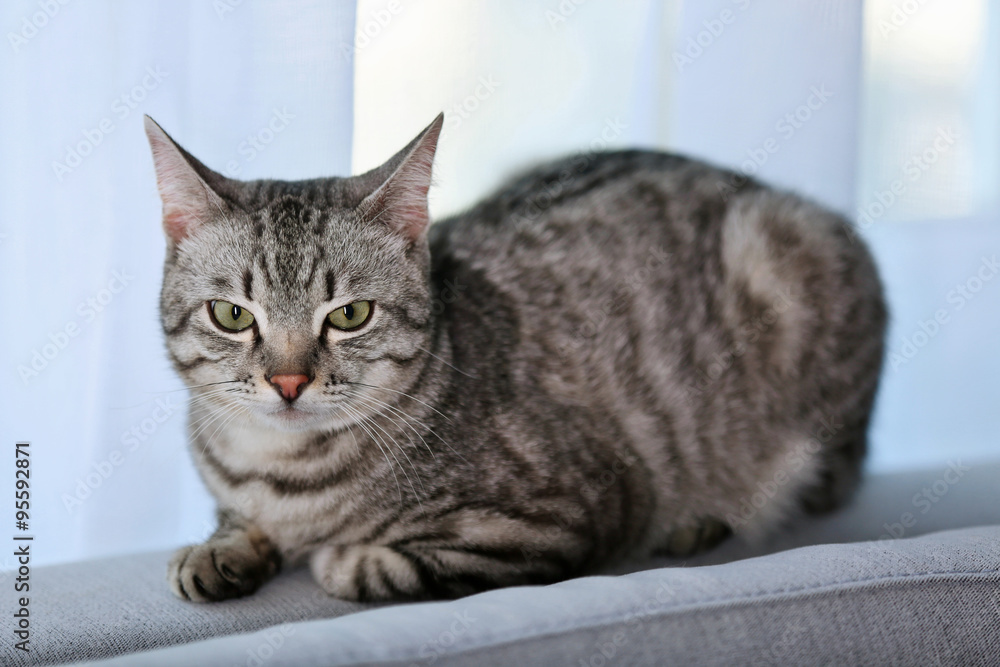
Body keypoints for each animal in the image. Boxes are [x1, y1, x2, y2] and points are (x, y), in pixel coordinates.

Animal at [146, 112, 884, 604]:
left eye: (350, 315)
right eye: (233, 315)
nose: (289, 380)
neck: (280, 474)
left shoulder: (562, 515)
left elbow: (372, 566)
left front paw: (330, 555)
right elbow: (233, 523)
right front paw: (219, 551)